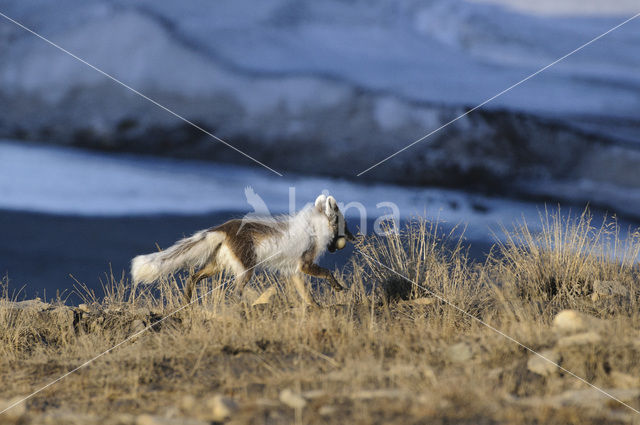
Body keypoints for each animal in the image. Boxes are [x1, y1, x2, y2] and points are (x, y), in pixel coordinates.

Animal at [131, 194, 356, 304]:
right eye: (345, 224)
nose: (355, 237)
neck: (315, 226)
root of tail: (224, 227)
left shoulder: (294, 271)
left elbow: (306, 294)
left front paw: (315, 308)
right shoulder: (305, 264)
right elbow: (326, 272)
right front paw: (337, 287)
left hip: (217, 266)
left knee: (192, 277)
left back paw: (187, 303)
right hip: (246, 269)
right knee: (234, 292)